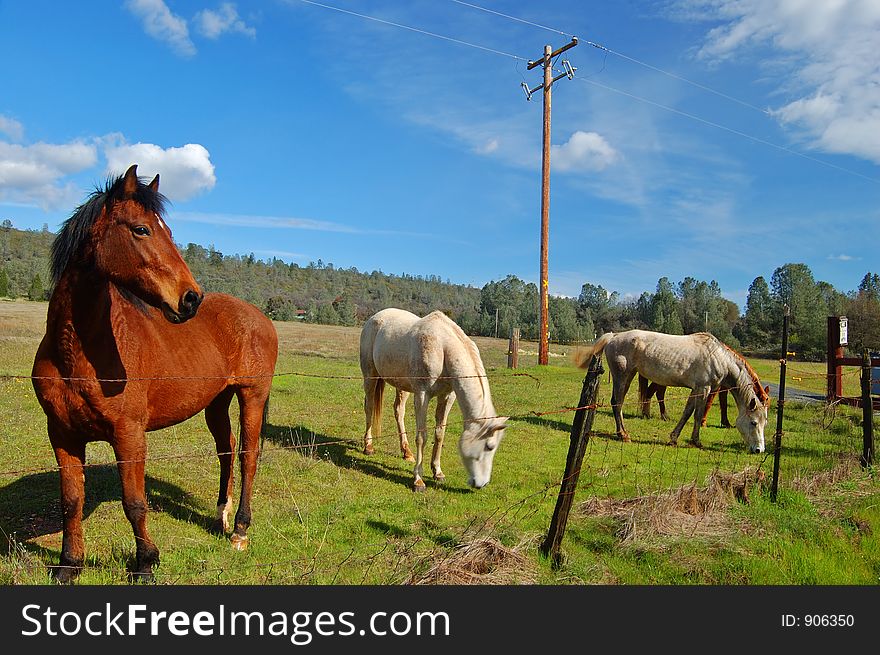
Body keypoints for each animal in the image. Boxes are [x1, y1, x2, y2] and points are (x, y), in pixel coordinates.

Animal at [31, 165, 278, 584]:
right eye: (141, 229)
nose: (190, 298)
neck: (76, 354)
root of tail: (259, 317)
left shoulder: (129, 436)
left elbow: (134, 502)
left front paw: (145, 563)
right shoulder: (62, 434)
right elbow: (71, 501)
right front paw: (69, 565)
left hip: (252, 396)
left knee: (248, 455)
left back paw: (240, 531)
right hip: (216, 402)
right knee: (226, 449)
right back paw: (221, 517)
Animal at [360, 308, 508, 492]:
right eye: (489, 446)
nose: (482, 484)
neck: (442, 348)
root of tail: (375, 318)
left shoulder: (447, 397)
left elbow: (439, 434)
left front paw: (437, 472)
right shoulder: (422, 395)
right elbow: (422, 437)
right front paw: (418, 480)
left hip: (402, 386)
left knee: (398, 411)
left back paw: (406, 452)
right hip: (370, 376)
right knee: (369, 407)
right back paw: (368, 446)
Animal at [572, 330, 768, 454]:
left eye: (764, 423)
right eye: (753, 423)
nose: (759, 450)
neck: (718, 357)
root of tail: (614, 336)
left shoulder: (696, 390)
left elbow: (687, 413)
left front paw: (674, 438)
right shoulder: (704, 389)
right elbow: (697, 415)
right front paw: (696, 441)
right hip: (623, 376)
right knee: (617, 402)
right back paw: (624, 435)